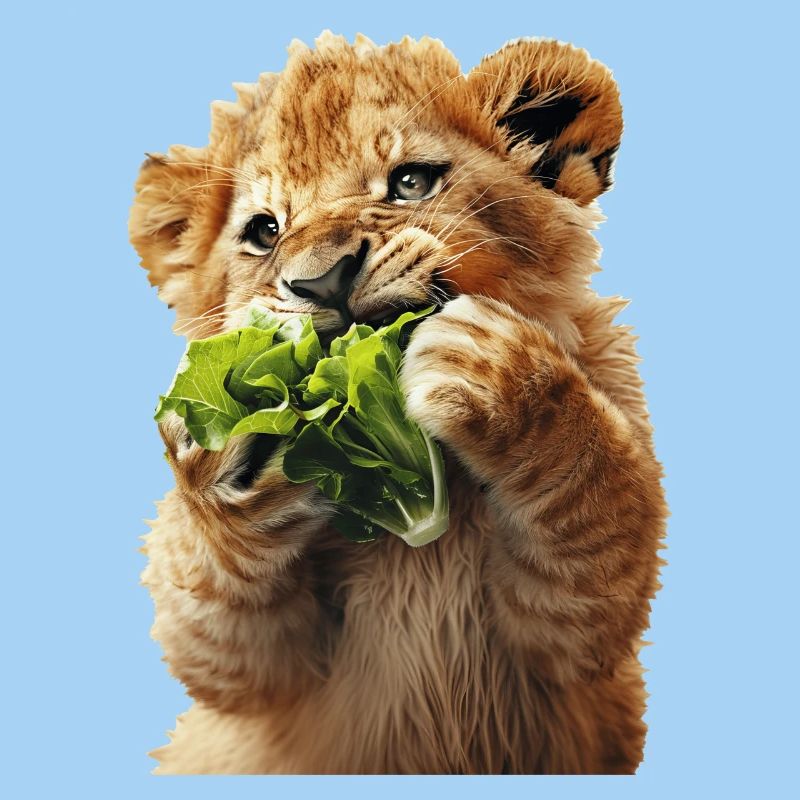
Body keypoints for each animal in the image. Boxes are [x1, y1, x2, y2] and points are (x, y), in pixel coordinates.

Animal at [129, 32, 666, 774]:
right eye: (265, 231)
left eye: (411, 182)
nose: (323, 280)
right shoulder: (258, 676)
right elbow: (219, 634)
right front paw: (226, 451)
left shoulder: (571, 638)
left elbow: (594, 503)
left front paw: (499, 370)